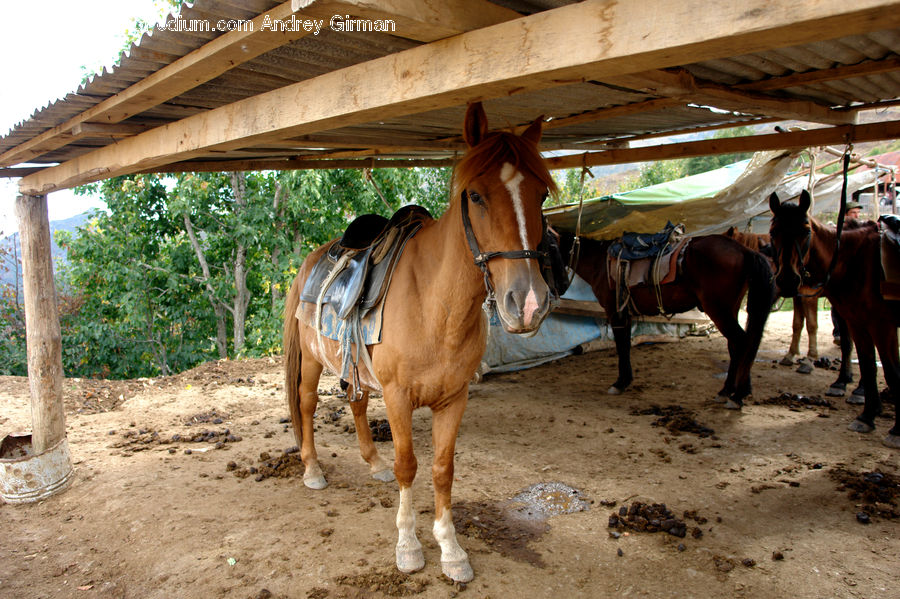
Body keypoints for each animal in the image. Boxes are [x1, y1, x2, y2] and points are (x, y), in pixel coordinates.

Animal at [284, 103, 560, 580]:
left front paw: (451, 548)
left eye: (540, 194)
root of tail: (312, 261)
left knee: (357, 402)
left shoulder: (454, 398)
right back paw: (313, 470)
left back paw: (372, 463)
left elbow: (443, 468)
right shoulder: (398, 397)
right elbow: (408, 465)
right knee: (306, 405)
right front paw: (409, 545)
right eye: (475, 196)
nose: (527, 303)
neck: (437, 305)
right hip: (314, 363)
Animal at [556, 232, 772, 410]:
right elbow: (625, 345)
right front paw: (625, 381)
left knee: (741, 342)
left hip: (719, 310)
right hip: (729, 310)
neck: (599, 262)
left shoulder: (616, 313)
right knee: (737, 345)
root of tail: (745, 250)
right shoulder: (625, 314)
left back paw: (736, 395)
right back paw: (730, 391)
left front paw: (620, 383)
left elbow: (622, 347)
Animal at [768, 190, 900, 448]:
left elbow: (890, 371)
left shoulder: (882, 325)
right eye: (773, 231)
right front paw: (866, 413)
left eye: (805, 230)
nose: (787, 280)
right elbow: (864, 360)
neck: (855, 262)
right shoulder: (853, 317)